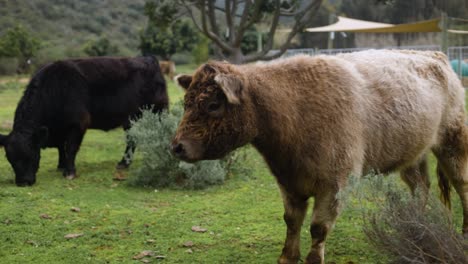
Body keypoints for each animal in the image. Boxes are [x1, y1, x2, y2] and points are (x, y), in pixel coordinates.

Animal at [0, 56, 168, 186]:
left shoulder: (78, 123)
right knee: (132, 140)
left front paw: (69, 171)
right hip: (130, 119)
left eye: (31, 154)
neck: (54, 89)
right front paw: (61, 165)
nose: (23, 182)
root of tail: (148, 59)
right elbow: (61, 147)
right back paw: (124, 163)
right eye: (9, 158)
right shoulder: (59, 129)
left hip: (159, 112)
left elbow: (70, 148)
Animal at [172, 50, 468, 264]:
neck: (293, 112)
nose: (177, 147)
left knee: (461, 185)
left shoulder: (334, 184)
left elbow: (318, 227)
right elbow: (292, 221)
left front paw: (313, 258)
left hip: (453, 143)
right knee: (420, 187)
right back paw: (416, 226)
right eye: (186, 102)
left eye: (213, 105)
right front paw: (287, 256)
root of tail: (434, 55)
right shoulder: (289, 183)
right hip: (413, 154)